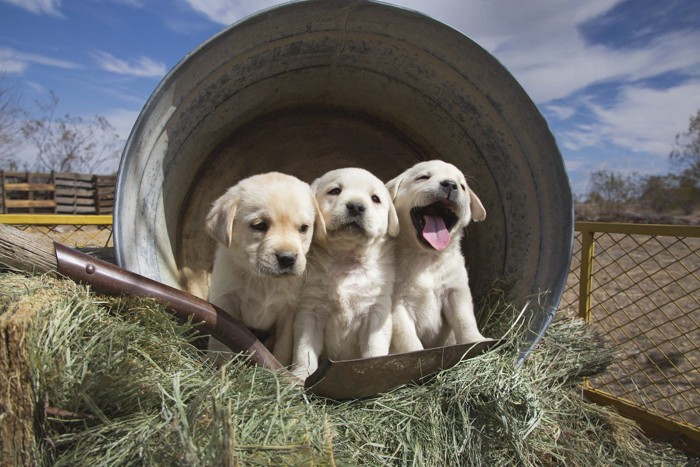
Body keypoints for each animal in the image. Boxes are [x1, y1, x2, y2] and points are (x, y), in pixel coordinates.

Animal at [204, 172, 322, 366]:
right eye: (259, 225)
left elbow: (283, 345)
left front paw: (278, 365)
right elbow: (221, 341)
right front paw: (218, 364)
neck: (264, 280)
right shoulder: (225, 300)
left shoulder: (289, 312)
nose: (287, 258)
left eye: (304, 228)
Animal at [292, 168, 400, 380]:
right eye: (335, 191)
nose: (356, 206)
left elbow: (374, 348)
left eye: (375, 198)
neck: (346, 258)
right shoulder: (310, 311)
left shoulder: (376, 312)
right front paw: (300, 376)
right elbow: (304, 350)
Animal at [388, 159, 486, 352]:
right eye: (423, 177)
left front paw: (476, 340)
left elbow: (465, 320)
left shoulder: (456, 291)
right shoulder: (397, 303)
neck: (426, 258)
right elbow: (407, 338)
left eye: (462, 186)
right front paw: (414, 353)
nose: (450, 184)